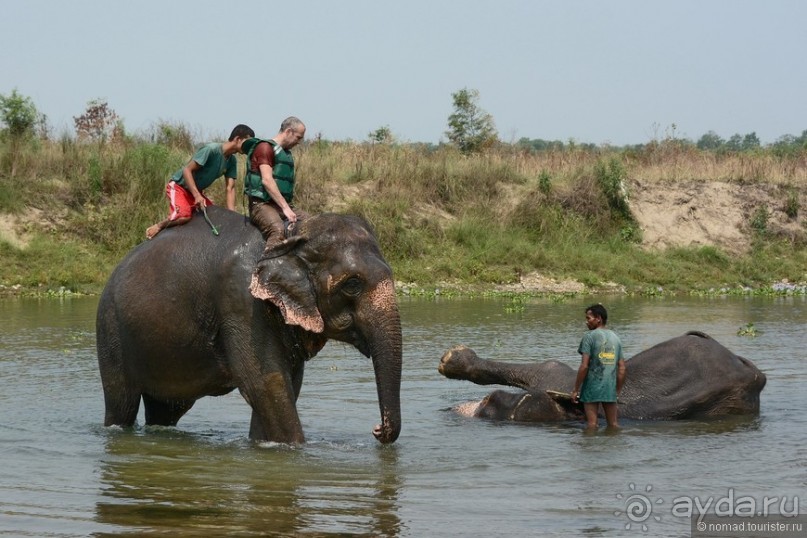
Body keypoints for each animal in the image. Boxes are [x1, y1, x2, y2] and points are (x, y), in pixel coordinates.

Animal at [98, 203, 400, 442]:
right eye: (352, 285)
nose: (376, 429)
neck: (292, 235)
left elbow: (286, 385)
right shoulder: (241, 301)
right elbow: (266, 384)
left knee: (166, 409)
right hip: (110, 328)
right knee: (121, 403)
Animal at [438, 328, 768, 420]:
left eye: (490, 401)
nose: (451, 411)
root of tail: (759, 377)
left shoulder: (556, 378)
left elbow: (548, 365)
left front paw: (452, 357)